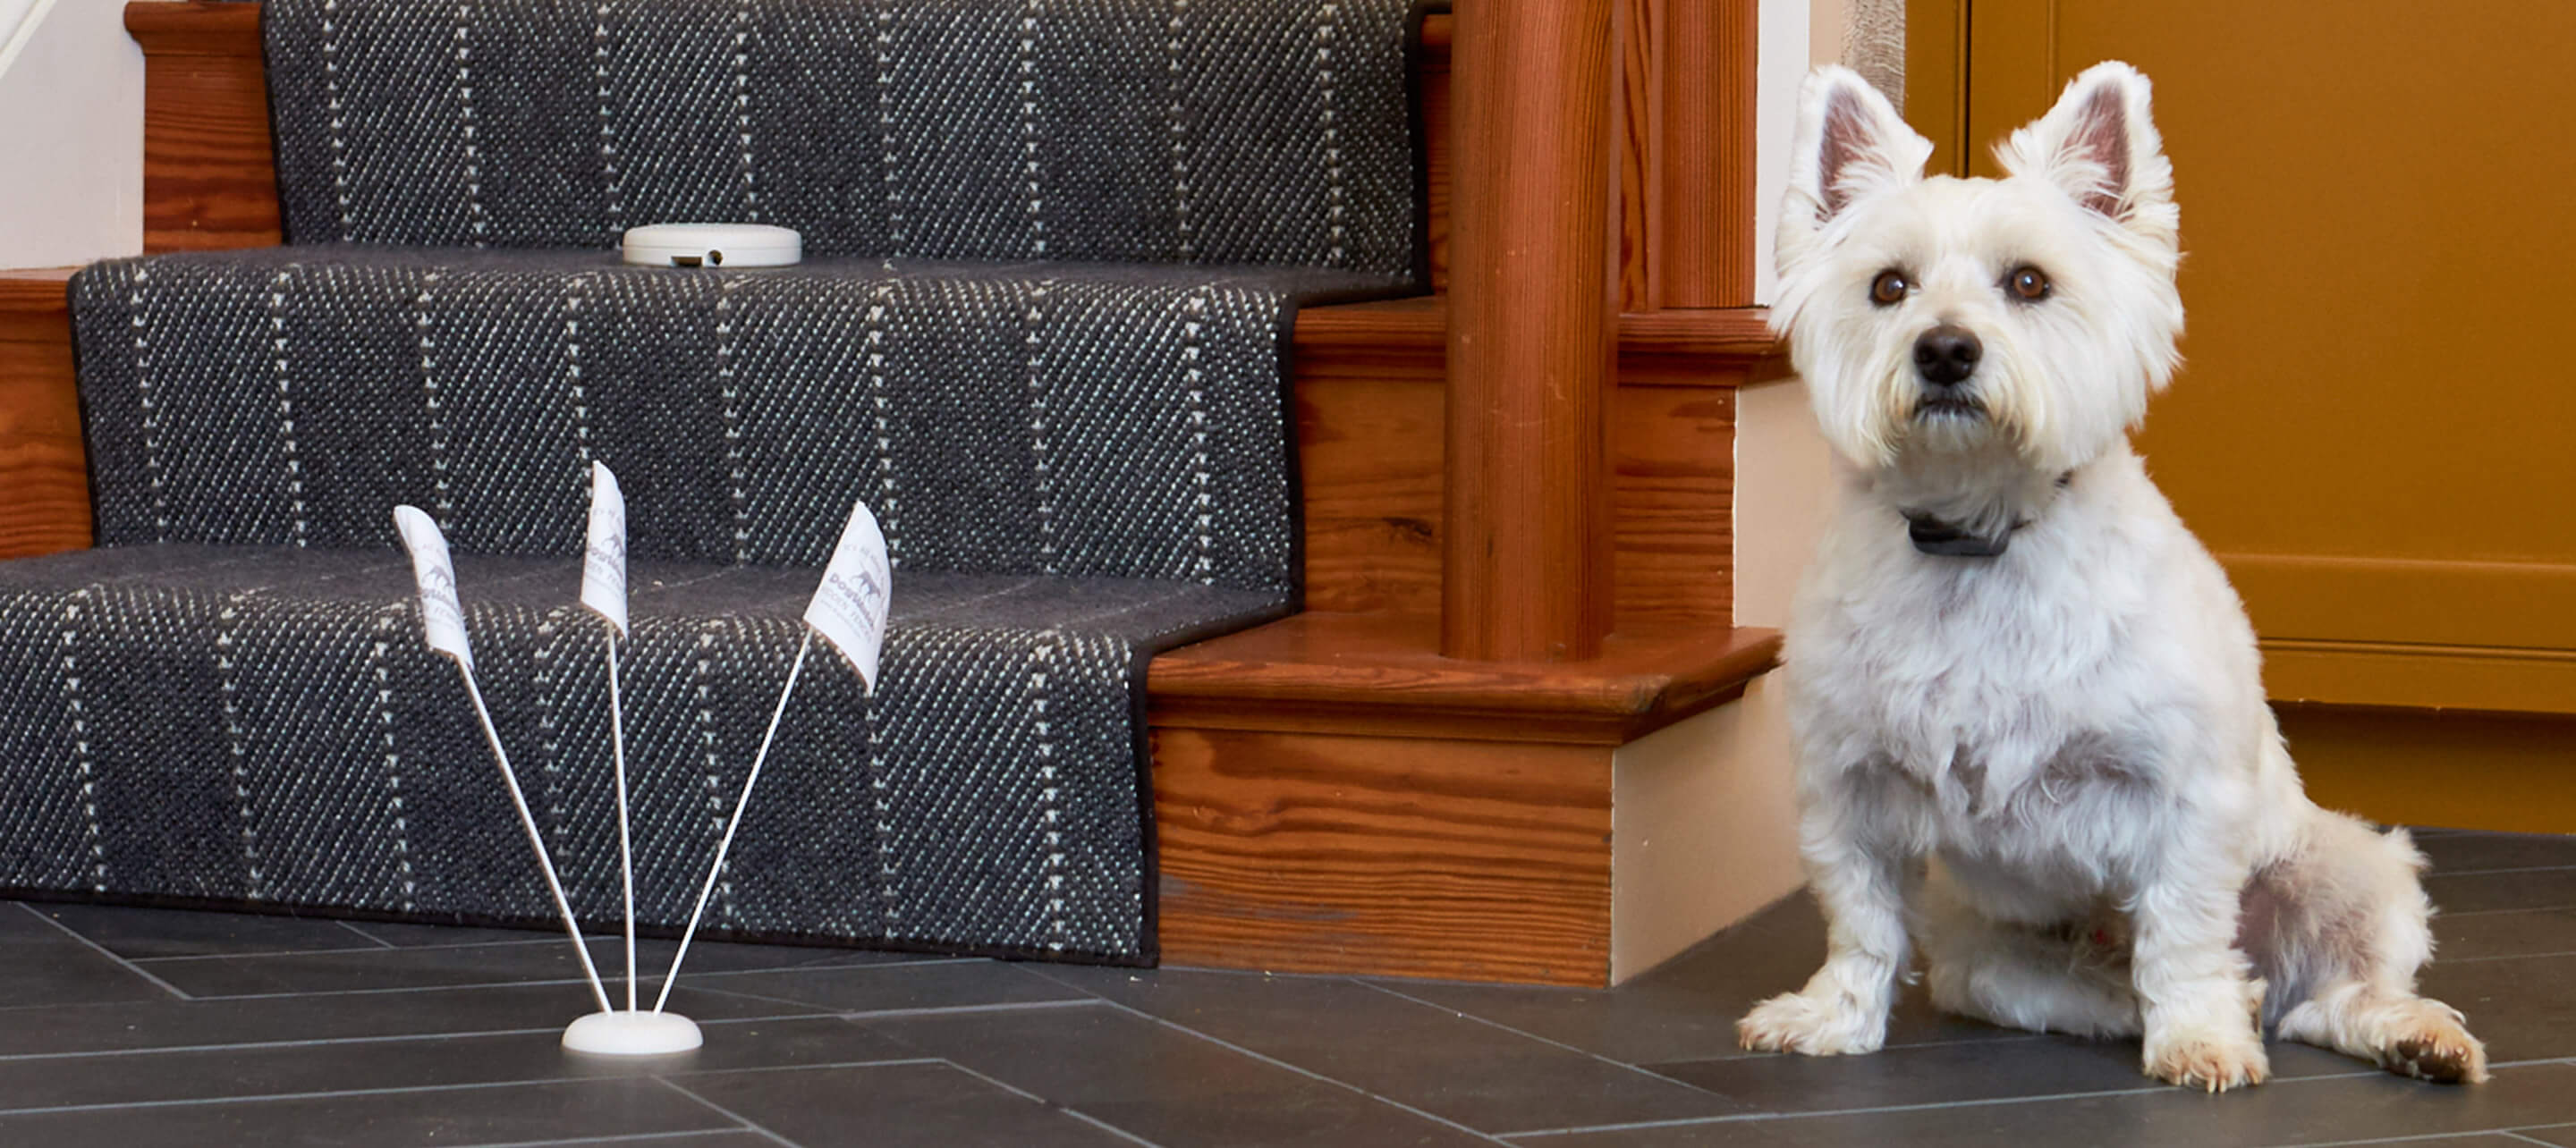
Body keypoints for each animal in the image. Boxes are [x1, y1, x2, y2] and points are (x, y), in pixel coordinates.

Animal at [1741, 64, 2483, 1096]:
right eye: (1889, 287)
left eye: (2029, 282)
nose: (1945, 349)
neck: (1982, 540)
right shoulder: (1847, 786)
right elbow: (1860, 920)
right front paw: (1831, 1018)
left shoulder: (2184, 794)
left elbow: (2182, 933)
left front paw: (2200, 1039)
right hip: (1986, 952)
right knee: (2103, 989)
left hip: (2347, 868)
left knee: (2330, 990)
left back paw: (2402, 1033)